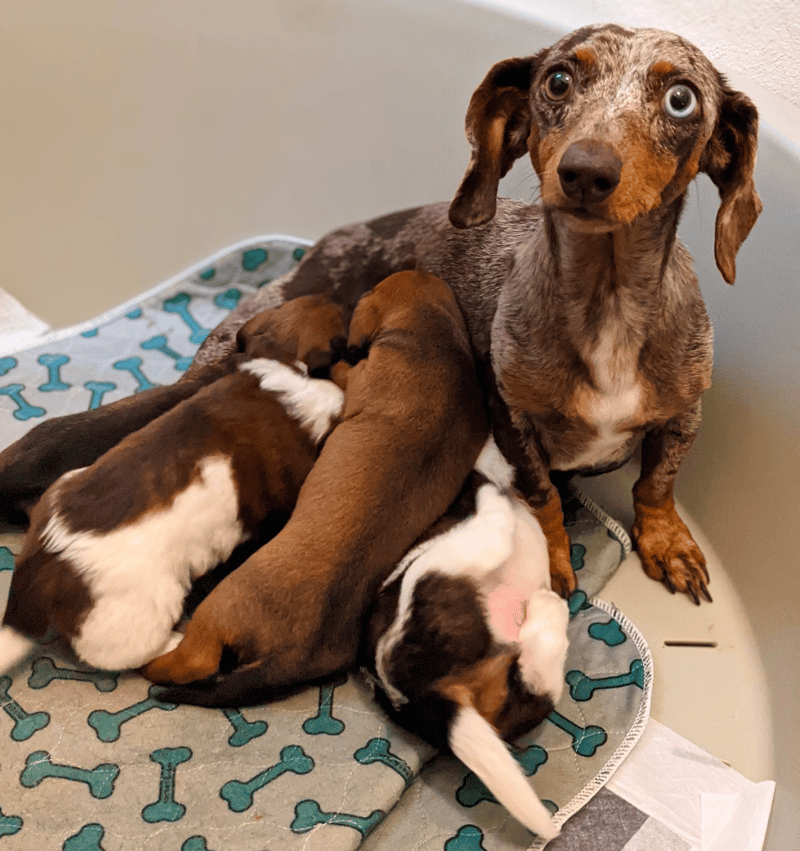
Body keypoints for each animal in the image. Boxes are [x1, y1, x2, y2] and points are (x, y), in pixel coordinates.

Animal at [145, 270, 490, 704]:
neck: (437, 338)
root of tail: (288, 659)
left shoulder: (358, 377)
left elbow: (344, 370)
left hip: (216, 611)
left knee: (194, 661)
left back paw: (155, 662)